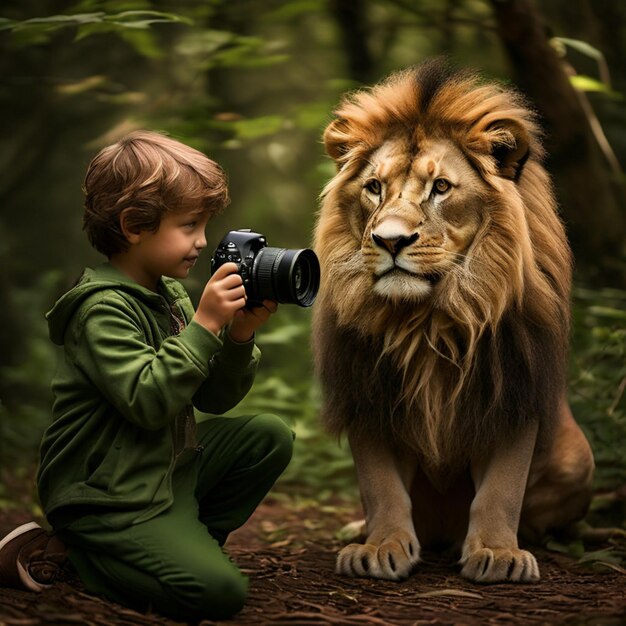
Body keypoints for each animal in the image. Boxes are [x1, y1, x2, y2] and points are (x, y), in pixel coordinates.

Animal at [314, 61, 592, 584]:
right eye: (374, 187)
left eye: (440, 187)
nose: (389, 241)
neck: (430, 318)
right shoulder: (366, 392)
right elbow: (381, 485)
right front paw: (380, 546)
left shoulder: (513, 390)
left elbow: (502, 488)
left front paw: (499, 553)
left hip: (577, 459)